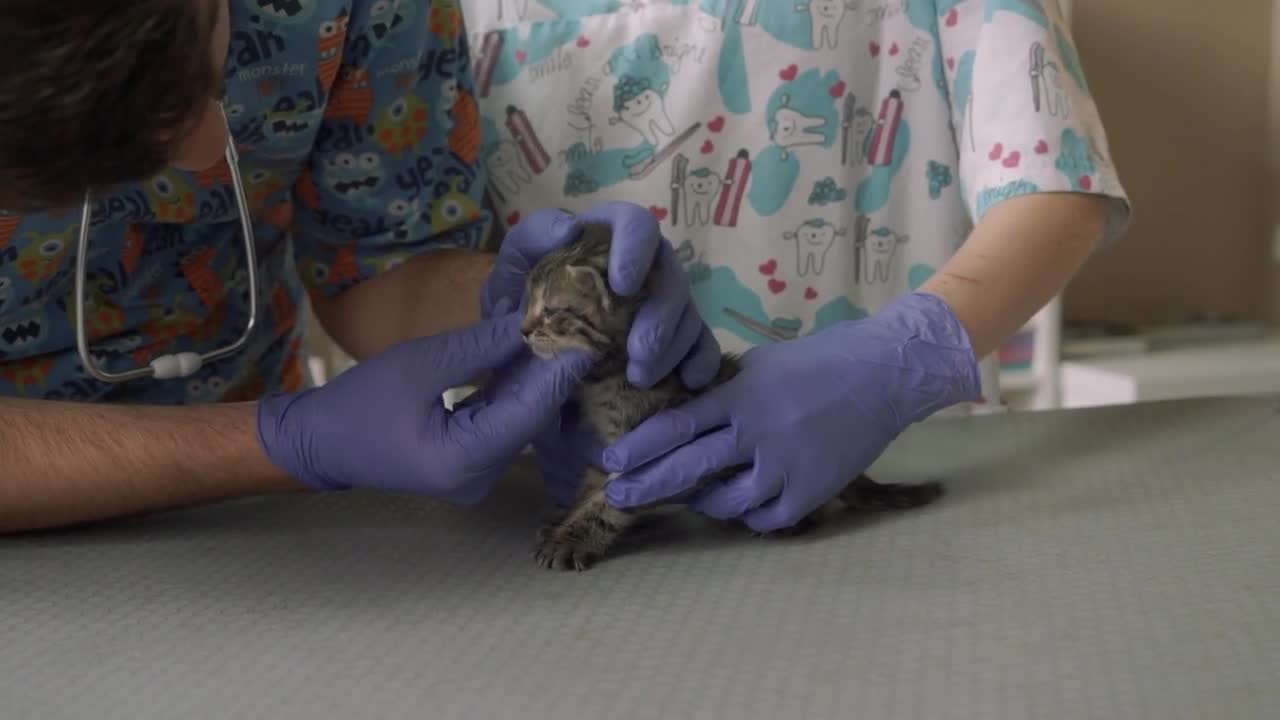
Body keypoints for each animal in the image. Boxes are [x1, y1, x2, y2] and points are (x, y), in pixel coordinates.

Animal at [517, 221, 942, 568]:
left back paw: (790, 522)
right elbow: (592, 485)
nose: (522, 331)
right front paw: (565, 519)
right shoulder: (609, 448)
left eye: (550, 311)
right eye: (528, 306)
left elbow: (613, 501)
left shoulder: (653, 453)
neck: (605, 377)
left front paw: (573, 538)